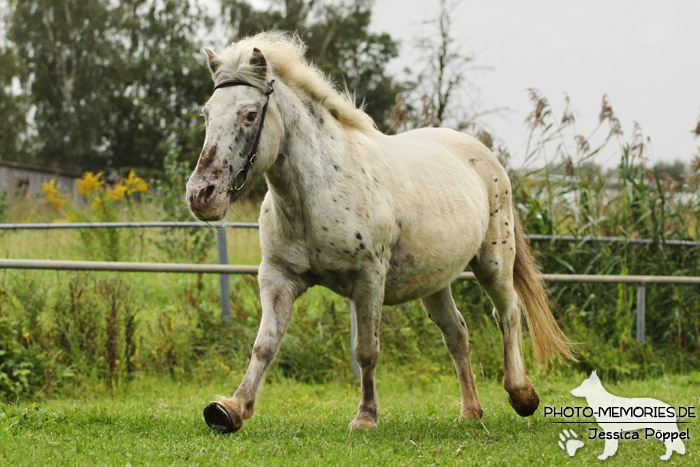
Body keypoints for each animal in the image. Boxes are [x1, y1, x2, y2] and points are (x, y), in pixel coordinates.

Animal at [186, 32, 576, 436]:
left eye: (249, 115)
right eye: (206, 114)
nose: (201, 194)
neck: (318, 191)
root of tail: (484, 155)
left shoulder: (369, 279)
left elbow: (366, 351)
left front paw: (366, 417)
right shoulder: (278, 277)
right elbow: (264, 344)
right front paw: (231, 408)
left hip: (493, 262)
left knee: (509, 314)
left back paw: (521, 394)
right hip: (435, 281)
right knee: (457, 333)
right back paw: (470, 411)